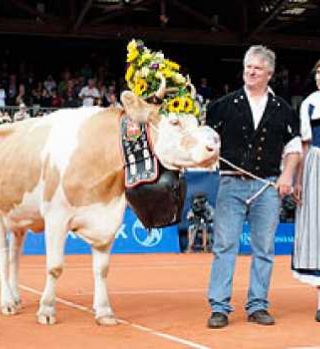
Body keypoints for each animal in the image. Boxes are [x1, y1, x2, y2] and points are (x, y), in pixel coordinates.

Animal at [0, 86, 220, 324]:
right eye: (175, 122)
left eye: (196, 121)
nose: (214, 146)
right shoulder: (56, 217)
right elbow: (55, 267)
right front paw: (47, 310)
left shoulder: (107, 219)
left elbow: (102, 269)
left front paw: (104, 311)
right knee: (4, 256)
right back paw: (7, 302)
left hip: (19, 217)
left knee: (14, 256)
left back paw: (16, 298)